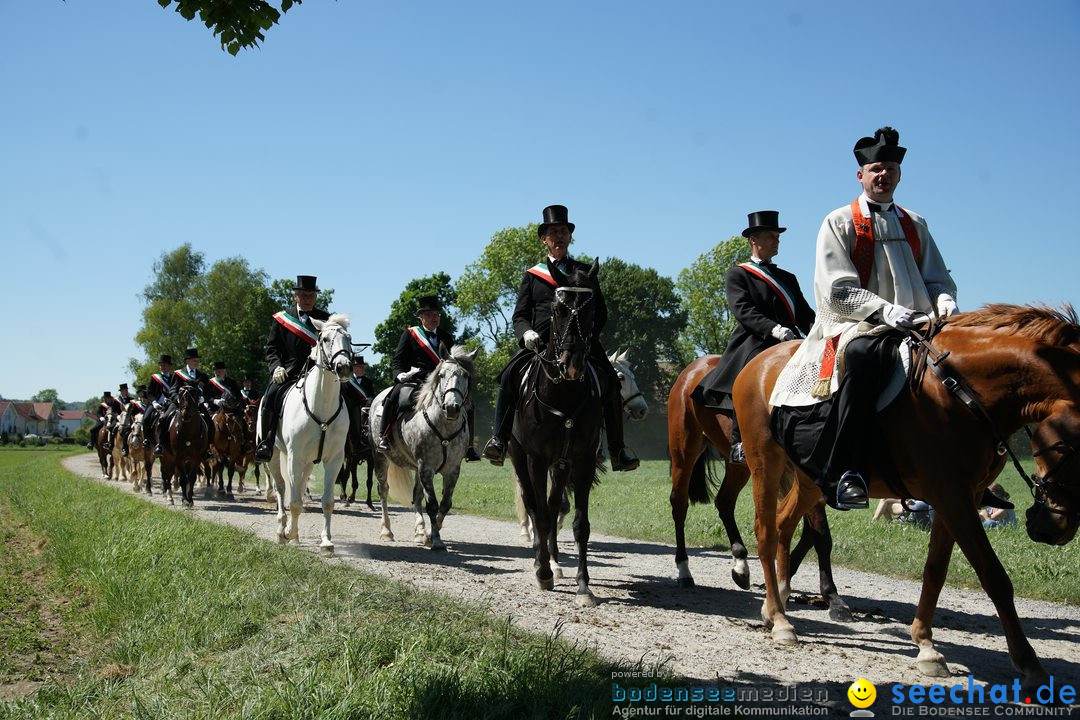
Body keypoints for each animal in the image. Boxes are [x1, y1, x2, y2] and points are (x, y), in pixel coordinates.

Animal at [259, 313, 352, 557]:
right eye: (325, 339)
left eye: (349, 338)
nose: (344, 368)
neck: (323, 405)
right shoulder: (294, 457)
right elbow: (293, 501)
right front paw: (288, 533)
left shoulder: (334, 460)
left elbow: (327, 502)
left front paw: (326, 542)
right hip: (274, 456)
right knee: (282, 489)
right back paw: (282, 531)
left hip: (309, 462)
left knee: (299, 489)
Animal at [507, 259, 609, 608]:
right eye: (558, 307)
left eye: (592, 308)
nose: (573, 363)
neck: (563, 393)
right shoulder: (536, 460)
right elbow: (538, 512)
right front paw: (543, 573)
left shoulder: (582, 461)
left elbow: (579, 524)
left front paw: (584, 586)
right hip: (519, 456)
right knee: (534, 505)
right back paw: (541, 563)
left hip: (562, 466)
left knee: (553, 508)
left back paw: (552, 560)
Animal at [665, 354, 851, 621]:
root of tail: (692, 369)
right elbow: (820, 535)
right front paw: (832, 597)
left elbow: (805, 531)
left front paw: (785, 578)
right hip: (685, 451)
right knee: (679, 505)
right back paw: (684, 570)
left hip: (738, 464)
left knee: (724, 501)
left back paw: (741, 564)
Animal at [734, 306, 1080, 699]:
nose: (1054, 529)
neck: (960, 391)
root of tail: (755, 365)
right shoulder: (953, 497)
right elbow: (994, 576)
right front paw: (1028, 662)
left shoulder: (956, 498)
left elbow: (935, 571)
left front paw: (926, 646)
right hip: (765, 462)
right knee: (765, 531)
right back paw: (780, 621)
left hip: (810, 477)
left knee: (783, 523)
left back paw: (775, 602)